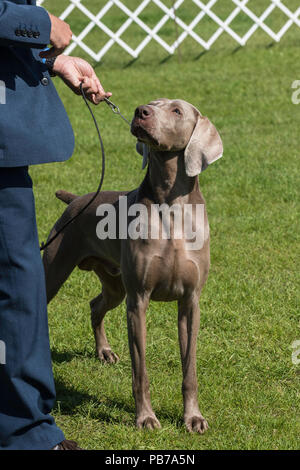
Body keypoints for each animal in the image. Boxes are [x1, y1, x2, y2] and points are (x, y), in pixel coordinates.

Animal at [42, 98, 223, 434]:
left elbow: (189, 370)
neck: (171, 206)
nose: (141, 112)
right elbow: (141, 372)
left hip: (115, 284)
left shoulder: (191, 301)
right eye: (152, 104)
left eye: (176, 110)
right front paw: (146, 417)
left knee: (96, 304)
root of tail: (76, 200)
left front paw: (193, 417)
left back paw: (104, 352)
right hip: (56, 270)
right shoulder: (138, 300)